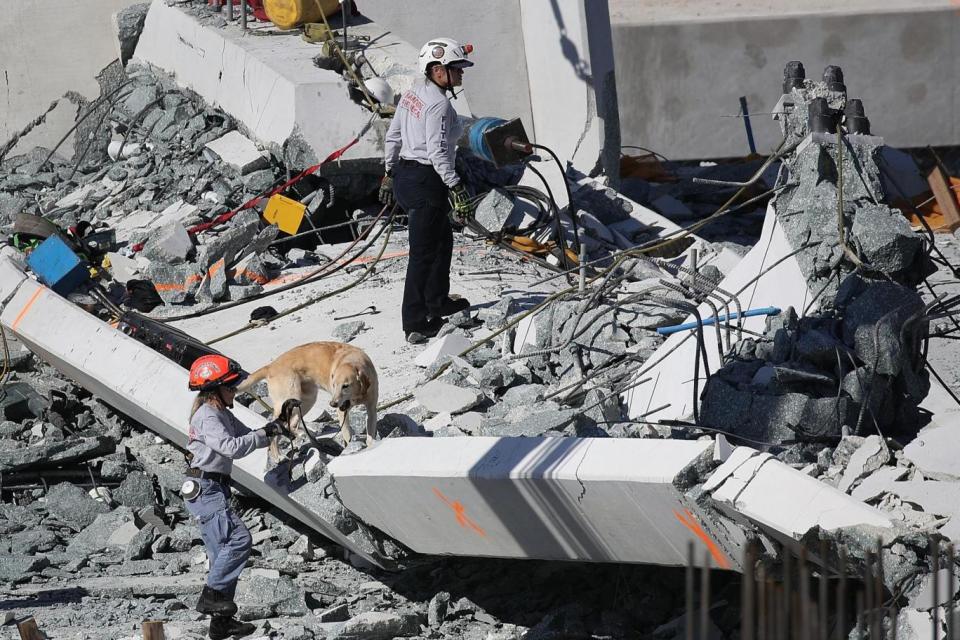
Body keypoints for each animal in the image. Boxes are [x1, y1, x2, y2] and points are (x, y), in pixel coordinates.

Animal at [236, 340, 378, 456]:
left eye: (346, 386)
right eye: (333, 385)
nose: (332, 404)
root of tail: (270, 366)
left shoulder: (371, 409)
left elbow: (371, 432)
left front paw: (372, 445)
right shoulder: (342, 411)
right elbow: (347, 434)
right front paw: (350, 448)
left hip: (305, 401)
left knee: (292, 424)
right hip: (289, 400)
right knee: (275, 428)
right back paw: (278, 457)